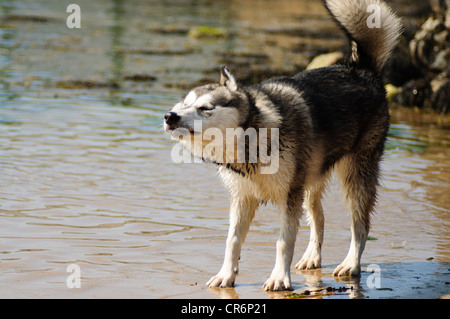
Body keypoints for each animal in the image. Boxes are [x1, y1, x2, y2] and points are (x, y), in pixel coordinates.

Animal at [164, 0, 400, 292]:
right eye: (183, 104)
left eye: (206, 108)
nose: (169, 117)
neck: (250, 141)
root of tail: (360, 69)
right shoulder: (243, 197)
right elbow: (232, 241)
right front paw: (226, 275)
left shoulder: (289, 197)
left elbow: (283, 242)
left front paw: (279, 277)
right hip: (311, 182)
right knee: (319, 217)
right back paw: (312, 257)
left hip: (355, 177)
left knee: (361, 226)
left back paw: (351, 263)